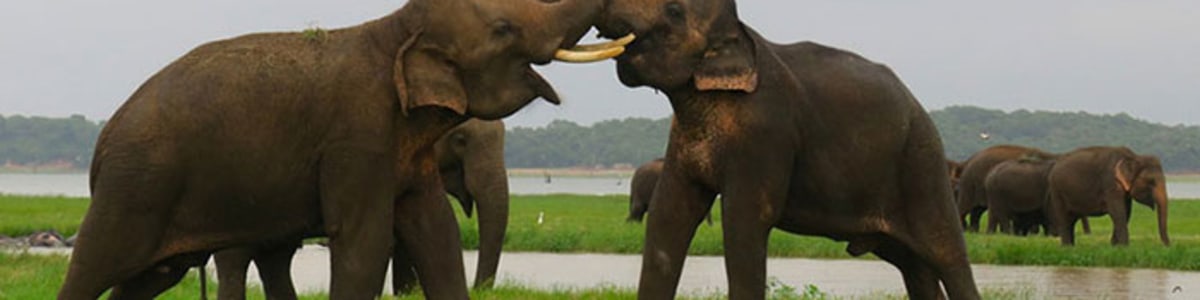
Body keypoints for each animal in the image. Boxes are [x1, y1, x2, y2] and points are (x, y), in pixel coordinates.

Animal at [595, 1, 979, 298]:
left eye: (674, 10)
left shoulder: (766, 133)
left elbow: (746, 220)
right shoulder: (681, 141)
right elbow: (669, 214)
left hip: (922, 162)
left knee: (947, 254)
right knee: (914, 266)